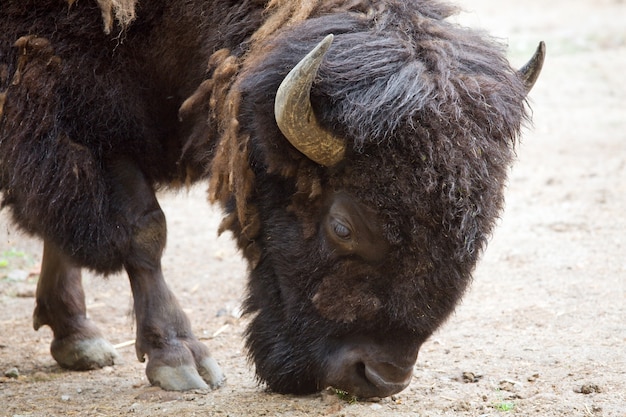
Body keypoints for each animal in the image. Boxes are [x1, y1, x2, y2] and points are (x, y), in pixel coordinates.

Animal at [1, 0, 540, 396]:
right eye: (342, 226)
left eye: (483, 225)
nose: (378, 378)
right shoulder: (72, 109)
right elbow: (143, 229)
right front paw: (181, 360)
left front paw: (78, 338)